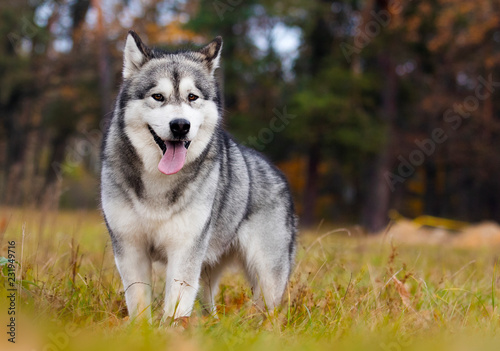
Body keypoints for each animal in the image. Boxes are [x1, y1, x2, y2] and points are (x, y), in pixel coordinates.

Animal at [100, 31, 296, 324]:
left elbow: (176, 306)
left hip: (267, 277)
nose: (180, 126)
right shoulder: (130, 249)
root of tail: (277, 175)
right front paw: (141, 330)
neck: (159, 182)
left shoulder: (185, 251)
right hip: (207, 272)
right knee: (208, 305)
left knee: (268, 309)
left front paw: (170, 330)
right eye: (158, 96)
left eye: (192, 97)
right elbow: (138, 302)